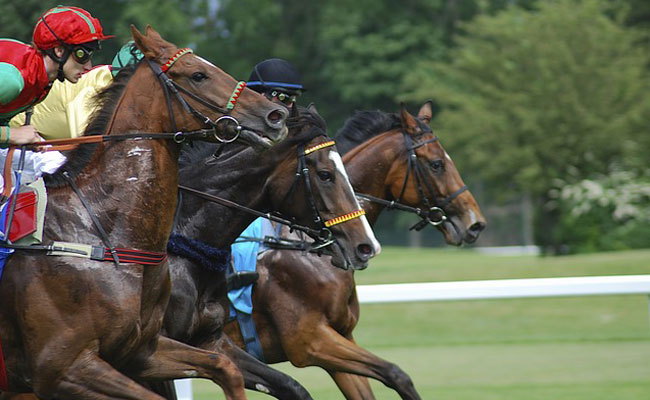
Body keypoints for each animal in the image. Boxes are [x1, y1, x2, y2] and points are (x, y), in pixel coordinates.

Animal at [0, 25, 288, 400]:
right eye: (198, 74)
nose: (275, 115)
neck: (101, 234)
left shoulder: (142, 350)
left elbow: (224, 367)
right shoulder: (63, 369)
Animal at [223, 101, 480, 398]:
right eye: (437, 164)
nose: (475, 223)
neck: (307, 248)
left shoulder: (341, 336)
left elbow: (387, 379)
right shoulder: (309, 341)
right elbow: (395, 373)